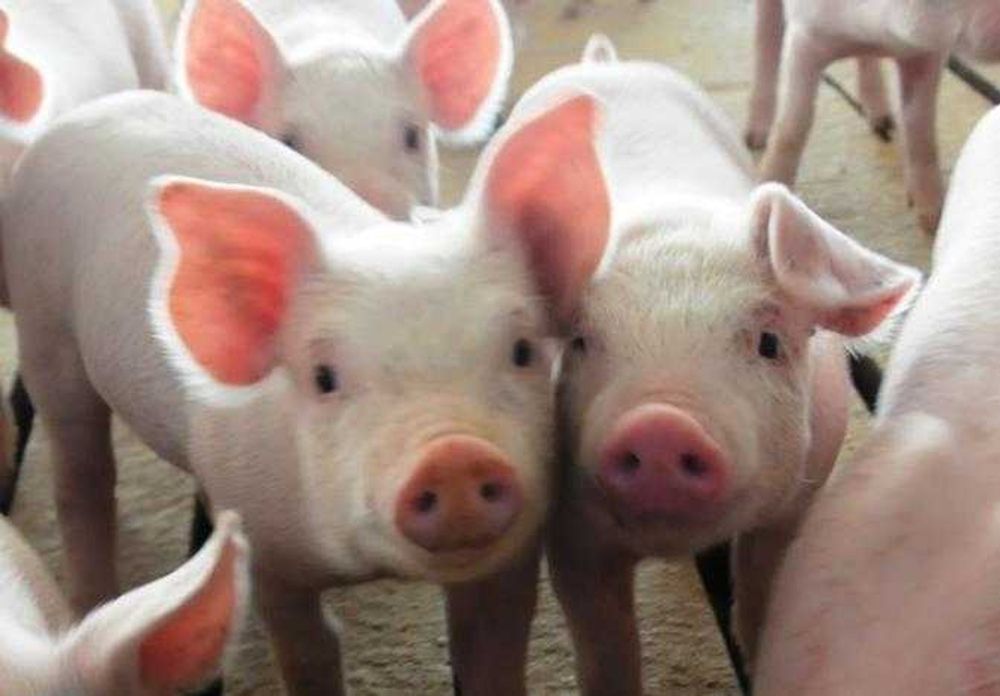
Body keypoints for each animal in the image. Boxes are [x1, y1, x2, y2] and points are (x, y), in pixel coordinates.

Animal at [479, 36, 920, 694]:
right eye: (579, 342)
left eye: (769, 342)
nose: (660, 424)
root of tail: (606, 64)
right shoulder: (572, 532)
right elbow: (606, 643)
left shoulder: (799, 495)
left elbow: (762, 591)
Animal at [754, 0, 1000, 232]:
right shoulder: (804, 35)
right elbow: (793, 124)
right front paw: (766, 187)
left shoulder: (927, 55)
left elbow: (920, 127)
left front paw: (933, 221)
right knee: (765, 38)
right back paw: (755, 137)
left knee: (867, 61)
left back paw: (883, 121)